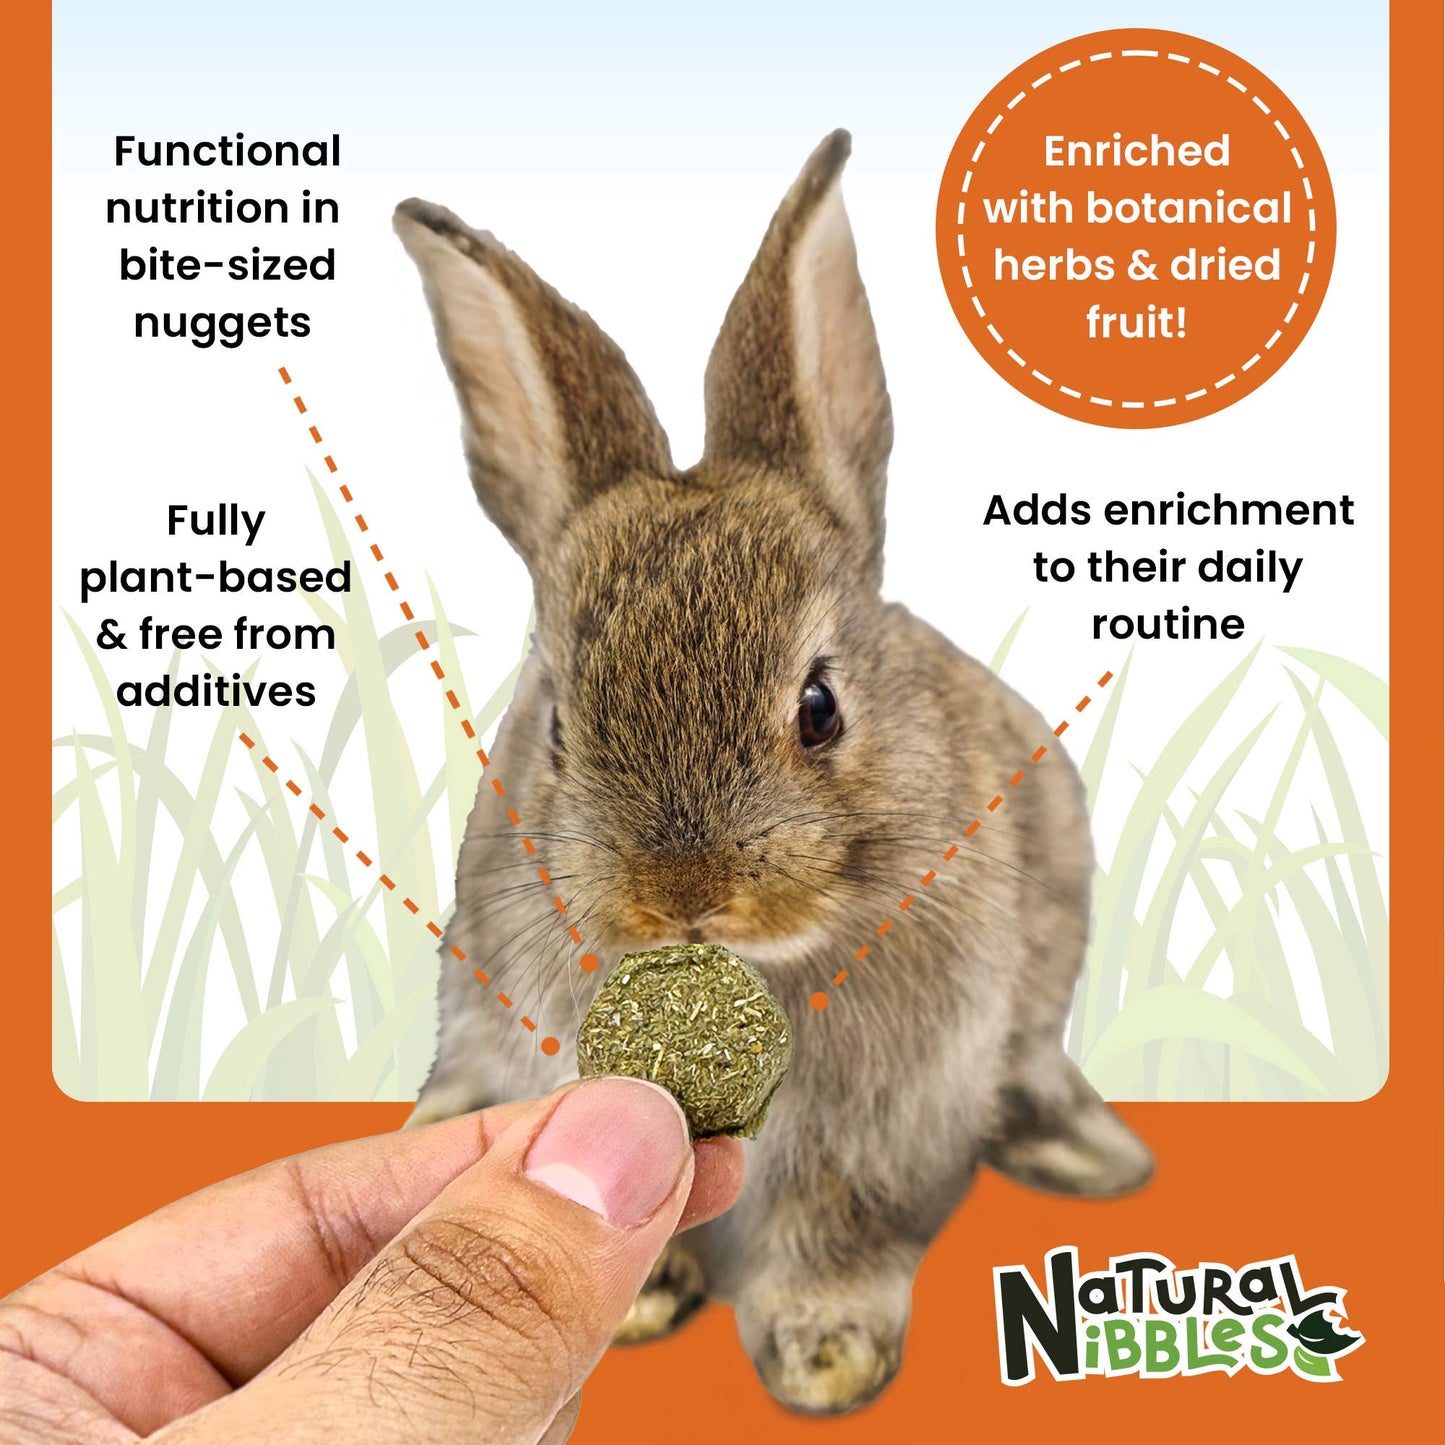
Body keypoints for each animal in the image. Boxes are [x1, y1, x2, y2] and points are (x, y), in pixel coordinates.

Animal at [393, 129, 1152, 1417]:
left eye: (817, 706)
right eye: (556, 729)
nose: (681, 893)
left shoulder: (878, 1134)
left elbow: (835, 1231)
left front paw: (826, 1355)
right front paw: (643, 1299)